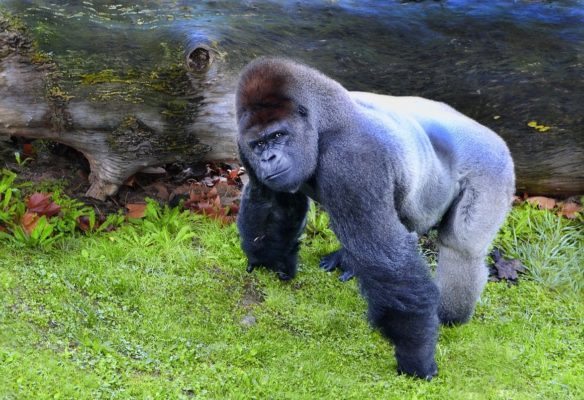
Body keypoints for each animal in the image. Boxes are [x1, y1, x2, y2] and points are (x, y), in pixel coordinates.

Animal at [235, 57, 512, 380]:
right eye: (258, 144)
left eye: (278, 135)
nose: (268, 158)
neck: (324, 121)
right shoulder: (243, 145)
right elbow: (272, 202)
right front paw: (270, 260)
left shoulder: (353, 160)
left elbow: (388, 263)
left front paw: (416, 357)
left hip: (492, 167)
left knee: (461, 251)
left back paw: (448, 316)